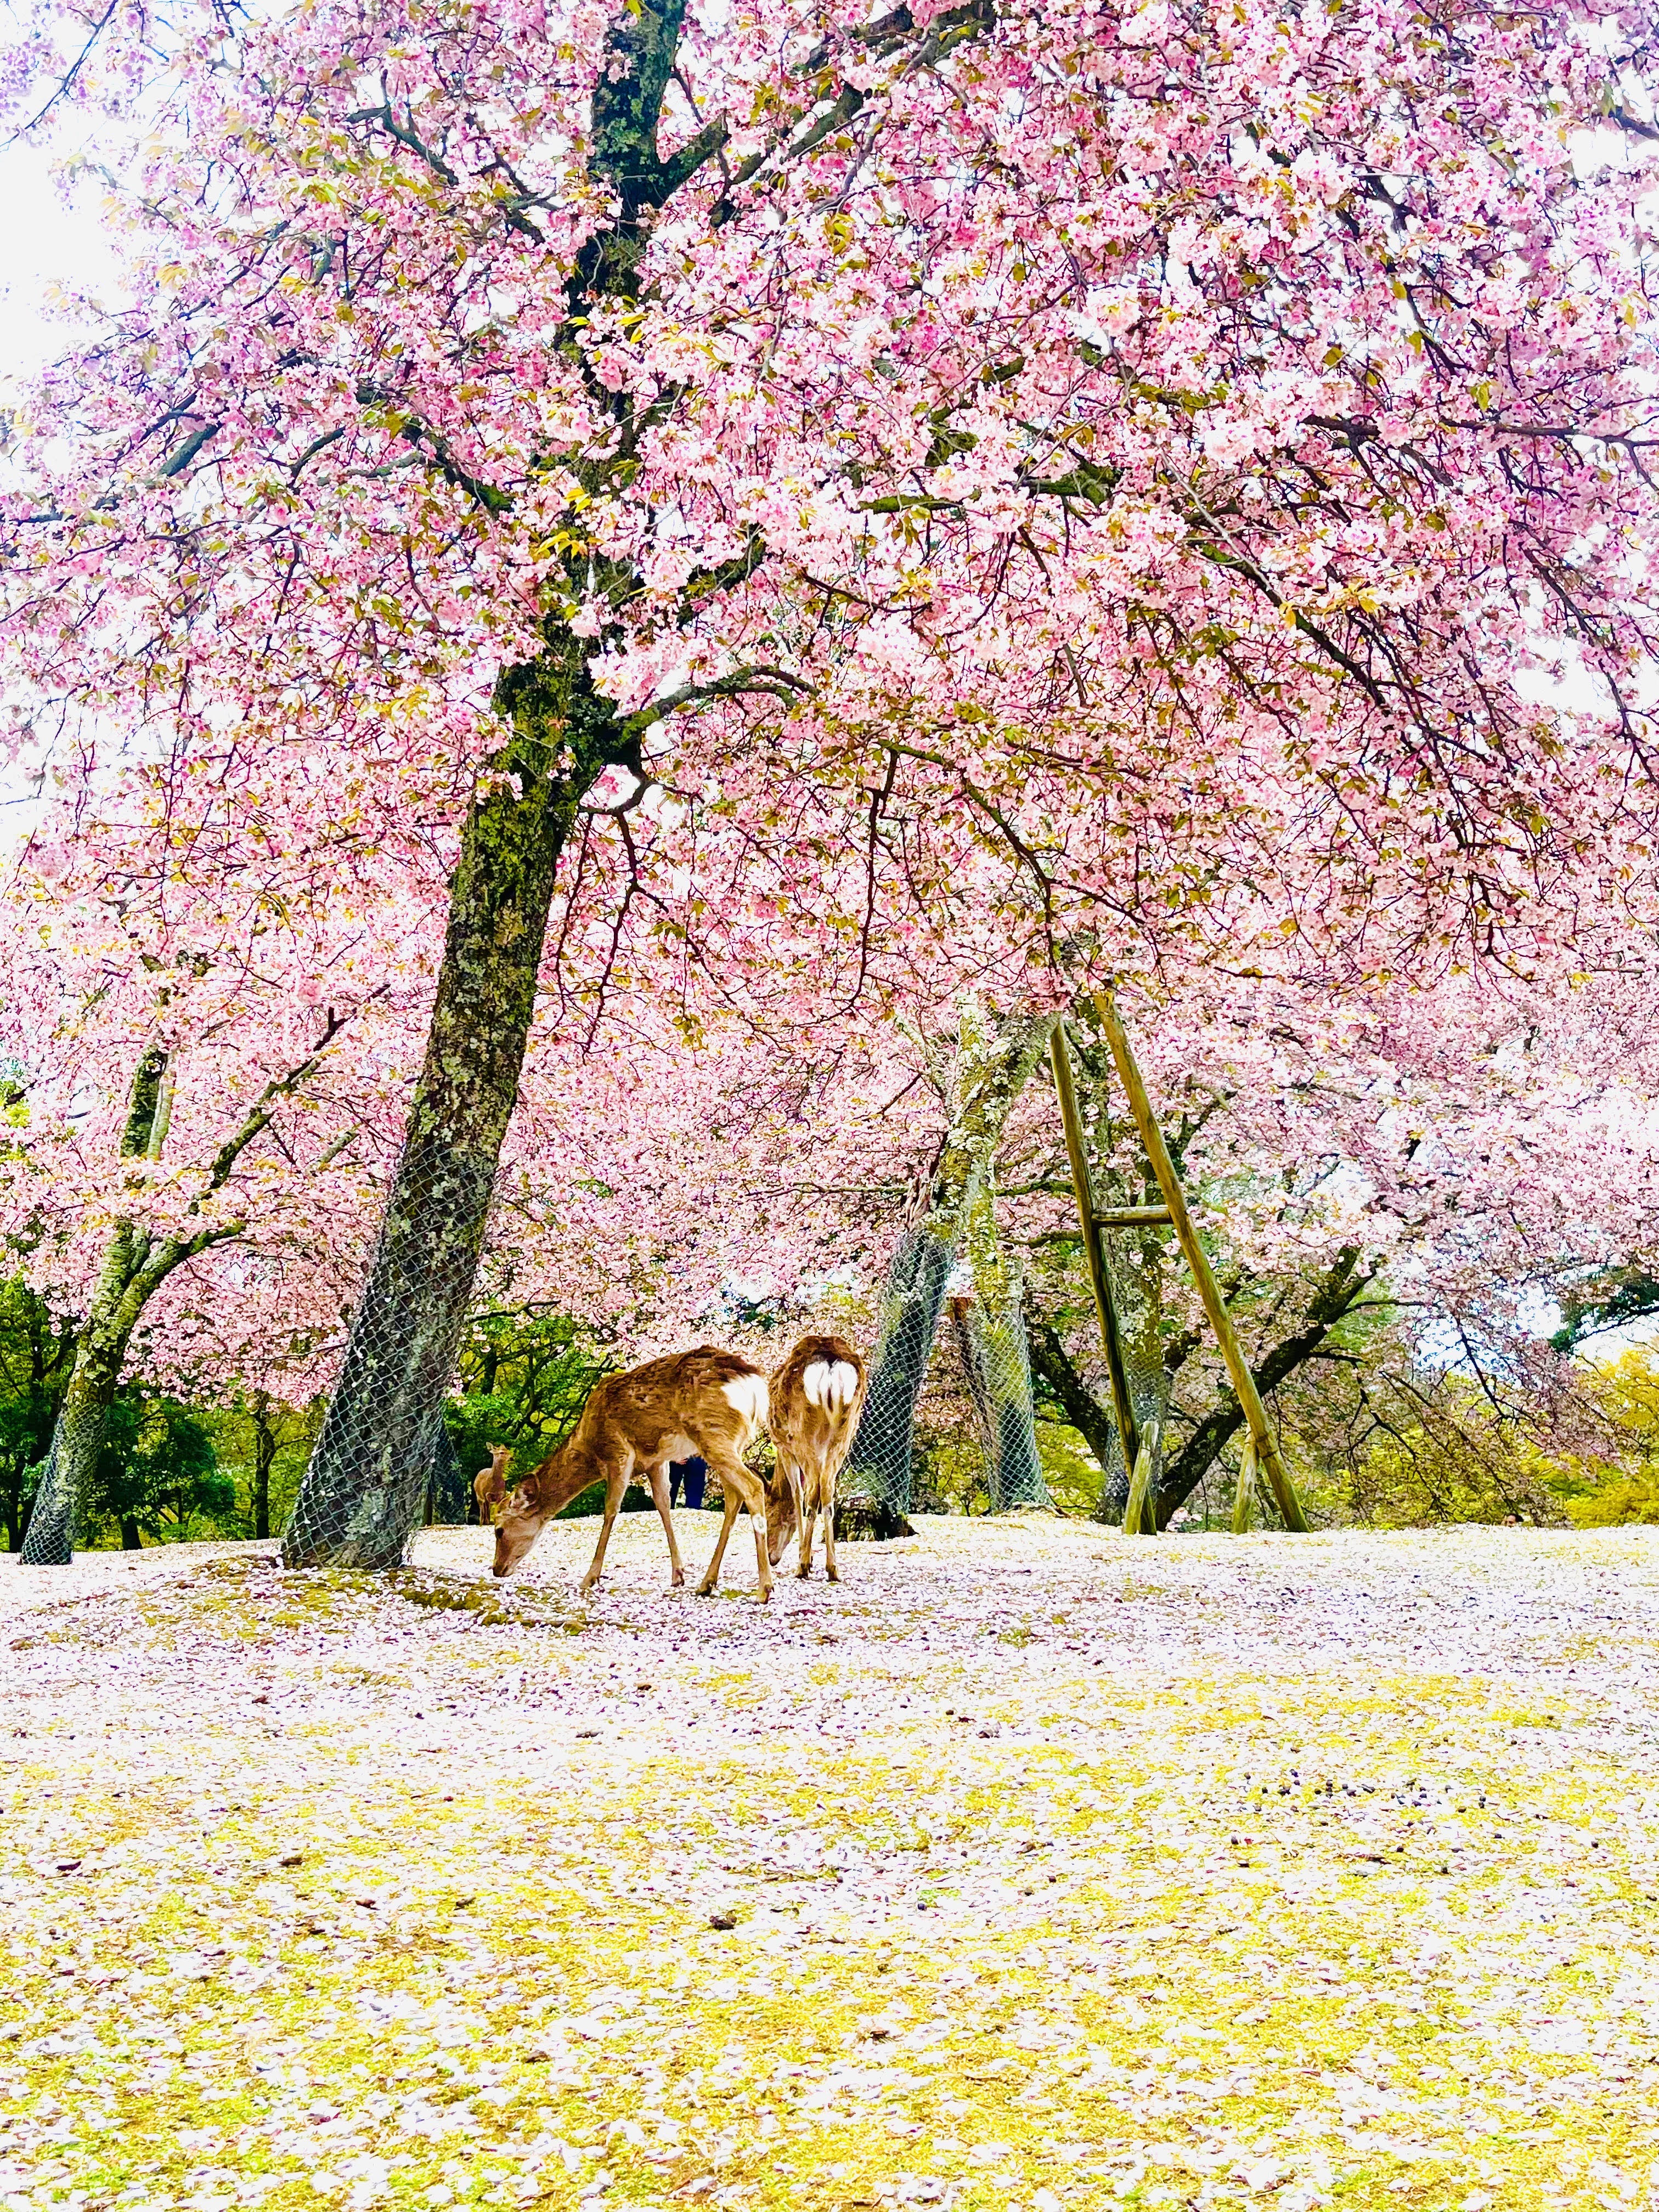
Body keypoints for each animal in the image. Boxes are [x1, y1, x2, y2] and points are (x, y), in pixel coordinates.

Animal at [472, 1345, 776, 1601]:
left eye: (499, 1531)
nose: (497, 1569)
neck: (589, 1446)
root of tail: (754, 1383)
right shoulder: (656, 1460)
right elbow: (663, 1505)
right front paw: (678, 1575)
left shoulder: (618, 1452)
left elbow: (610, 1509)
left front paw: (590, 1577)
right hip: (730, 1441)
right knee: (734, 1498)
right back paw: (706, 1583)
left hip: (712, 1433)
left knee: (753, 1486)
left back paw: (764, 1589)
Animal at [757, 1332, 868, 1583]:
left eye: (768, 1513)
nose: (771, 1557)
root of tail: (831, 1363)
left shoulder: (785, 1447)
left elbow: (797, 1494)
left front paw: (804, 1556)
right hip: (845, 1433)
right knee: (827, 1490)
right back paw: (833, 1568)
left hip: (804, 1434)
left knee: (813, 1492)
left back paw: (803, 1566)